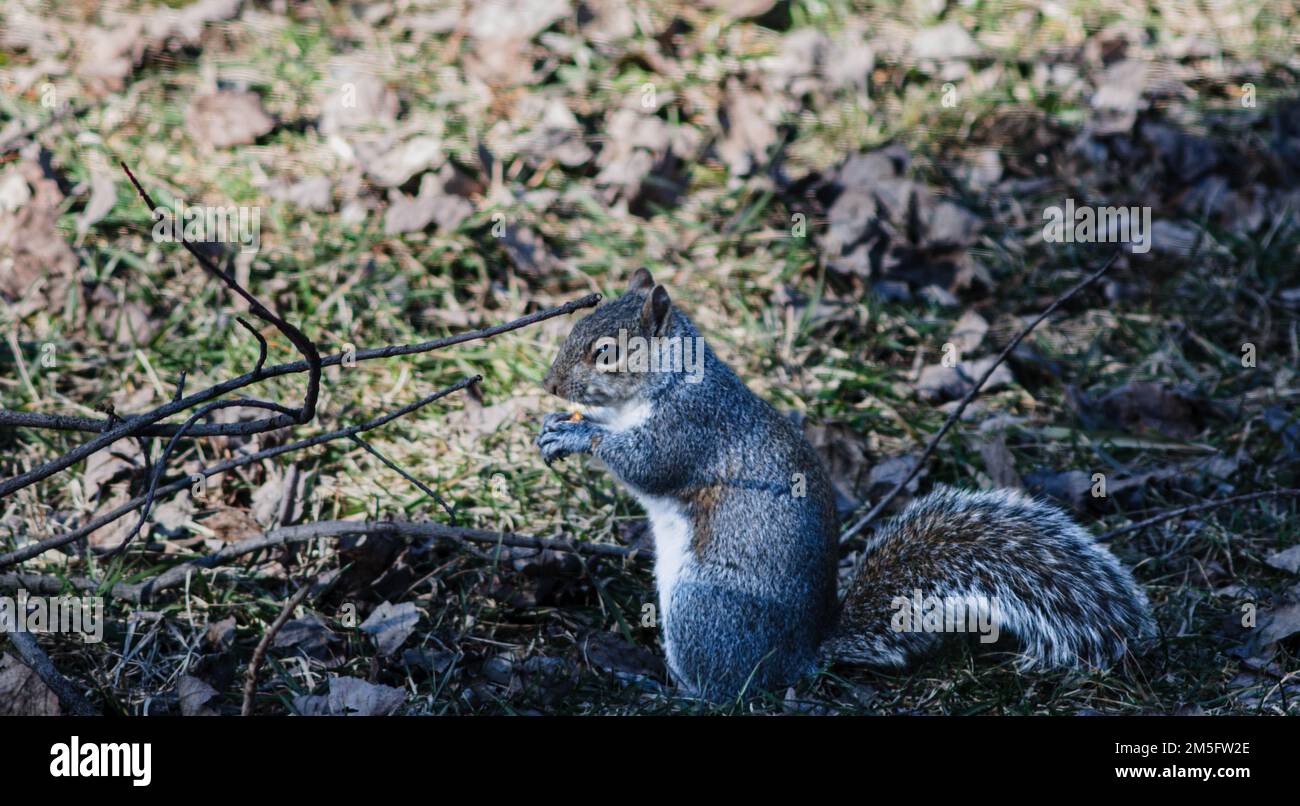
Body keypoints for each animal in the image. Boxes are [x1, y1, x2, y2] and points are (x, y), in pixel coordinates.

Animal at [533, 269, 1154, 696]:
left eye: (606, 352)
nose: (550, 384)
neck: (666, 382)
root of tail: (801, 656)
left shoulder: (692, 427)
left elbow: (647, 463)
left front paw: (577, 435)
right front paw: (556, 424)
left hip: (703, 610)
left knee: (728, 689)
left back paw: (670, 691)